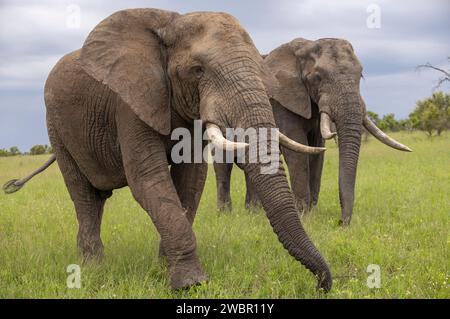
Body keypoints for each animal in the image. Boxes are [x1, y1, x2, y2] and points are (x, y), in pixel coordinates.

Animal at [3, 10, 332, 292]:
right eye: (197, 70)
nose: (322, 285)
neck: (171, 21)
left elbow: (191, 180)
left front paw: (164, 270)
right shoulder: (130, 101)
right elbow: (148, 178)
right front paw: (190, 284)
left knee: (96, 199)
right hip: (57, 127)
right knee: (82, 194)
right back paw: (93, 267)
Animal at [214, 38, 412, 228]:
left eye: (361, 75)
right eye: (317, 77)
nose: (341, 223)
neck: (305, 48)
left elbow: (317, 151)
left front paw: (311, 212)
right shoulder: (282, 100)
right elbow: (298, 151)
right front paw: (303, 214)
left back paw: (253, 212)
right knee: (223, 162)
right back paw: (226, 214)